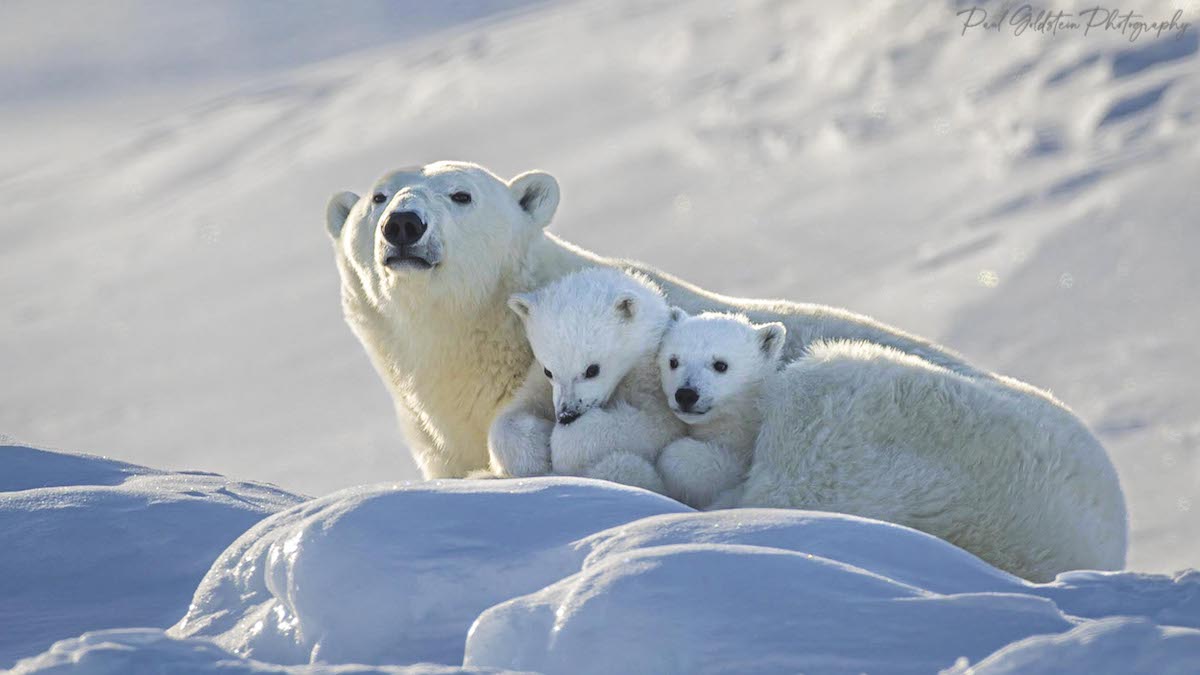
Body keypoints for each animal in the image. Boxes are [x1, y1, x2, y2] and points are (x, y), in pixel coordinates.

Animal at [498, 268, 685, 493]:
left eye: (592, 370)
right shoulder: (539, 384)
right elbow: (513, 414)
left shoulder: (651, 382)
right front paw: (536, 452)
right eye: (548, 371)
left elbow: (654, 423)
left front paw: (562, 447)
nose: (567, 414)